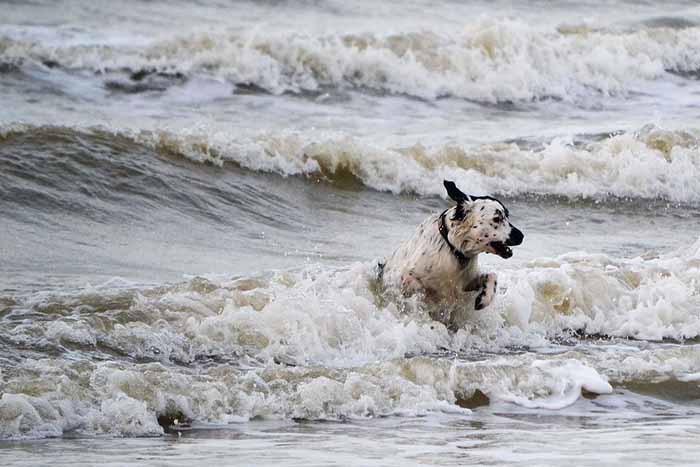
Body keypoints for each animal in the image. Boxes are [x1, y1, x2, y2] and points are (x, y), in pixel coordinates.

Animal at [380, 181, 524, 328]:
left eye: (507, 215)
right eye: (497, 218)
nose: (521, 236)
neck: (453, 250)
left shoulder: (467, 281)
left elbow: (492, 276)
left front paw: (484, 299)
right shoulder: (403, 277)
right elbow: (418, 287)